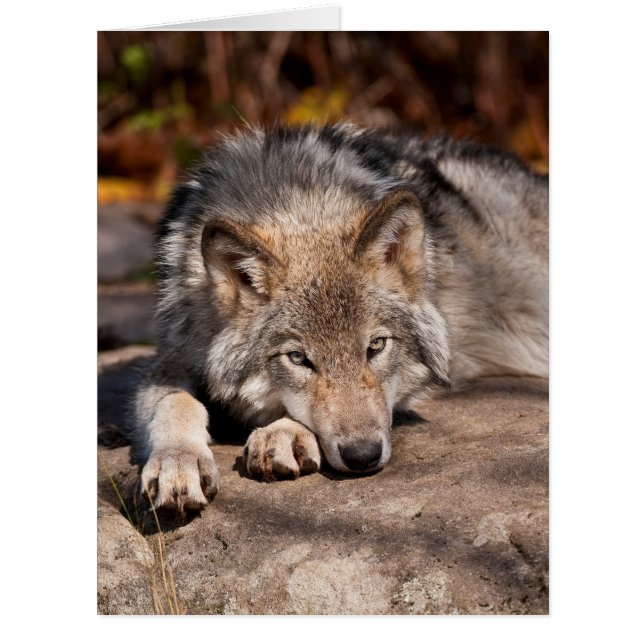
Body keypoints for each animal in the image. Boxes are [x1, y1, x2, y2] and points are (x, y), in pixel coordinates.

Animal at [131, 124, 548, 513]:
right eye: (298, 358)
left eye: (376, 346)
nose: (363, 456)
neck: (298, 202)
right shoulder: (173, 354)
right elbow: (175, 401)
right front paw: (177, 463)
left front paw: (283, 433)